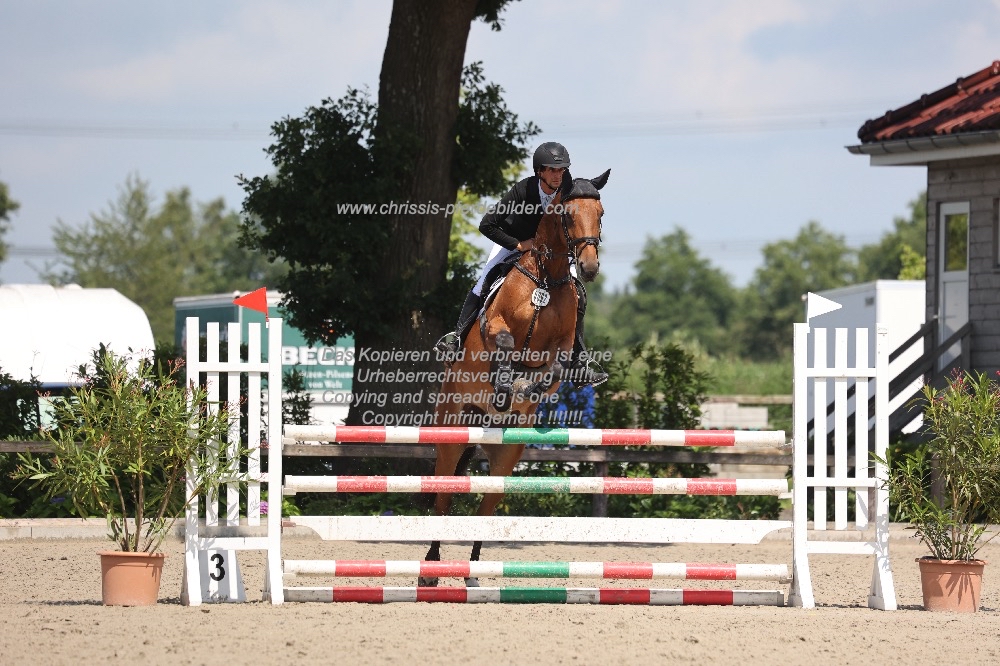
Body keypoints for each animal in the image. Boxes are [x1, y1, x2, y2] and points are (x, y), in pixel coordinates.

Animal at [418, 169, 604, 584]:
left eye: (600, 213)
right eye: (568, 215)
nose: (588, 268)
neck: (546, 280)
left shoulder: (563, 346)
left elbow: (556, 366)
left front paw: (527, 387)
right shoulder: (494, 326)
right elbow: (503, 341)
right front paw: (506, 385)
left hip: (506, 452)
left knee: (487, 503)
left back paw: (472, 571)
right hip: (452, 432)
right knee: (443, 495)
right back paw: (430, 568)